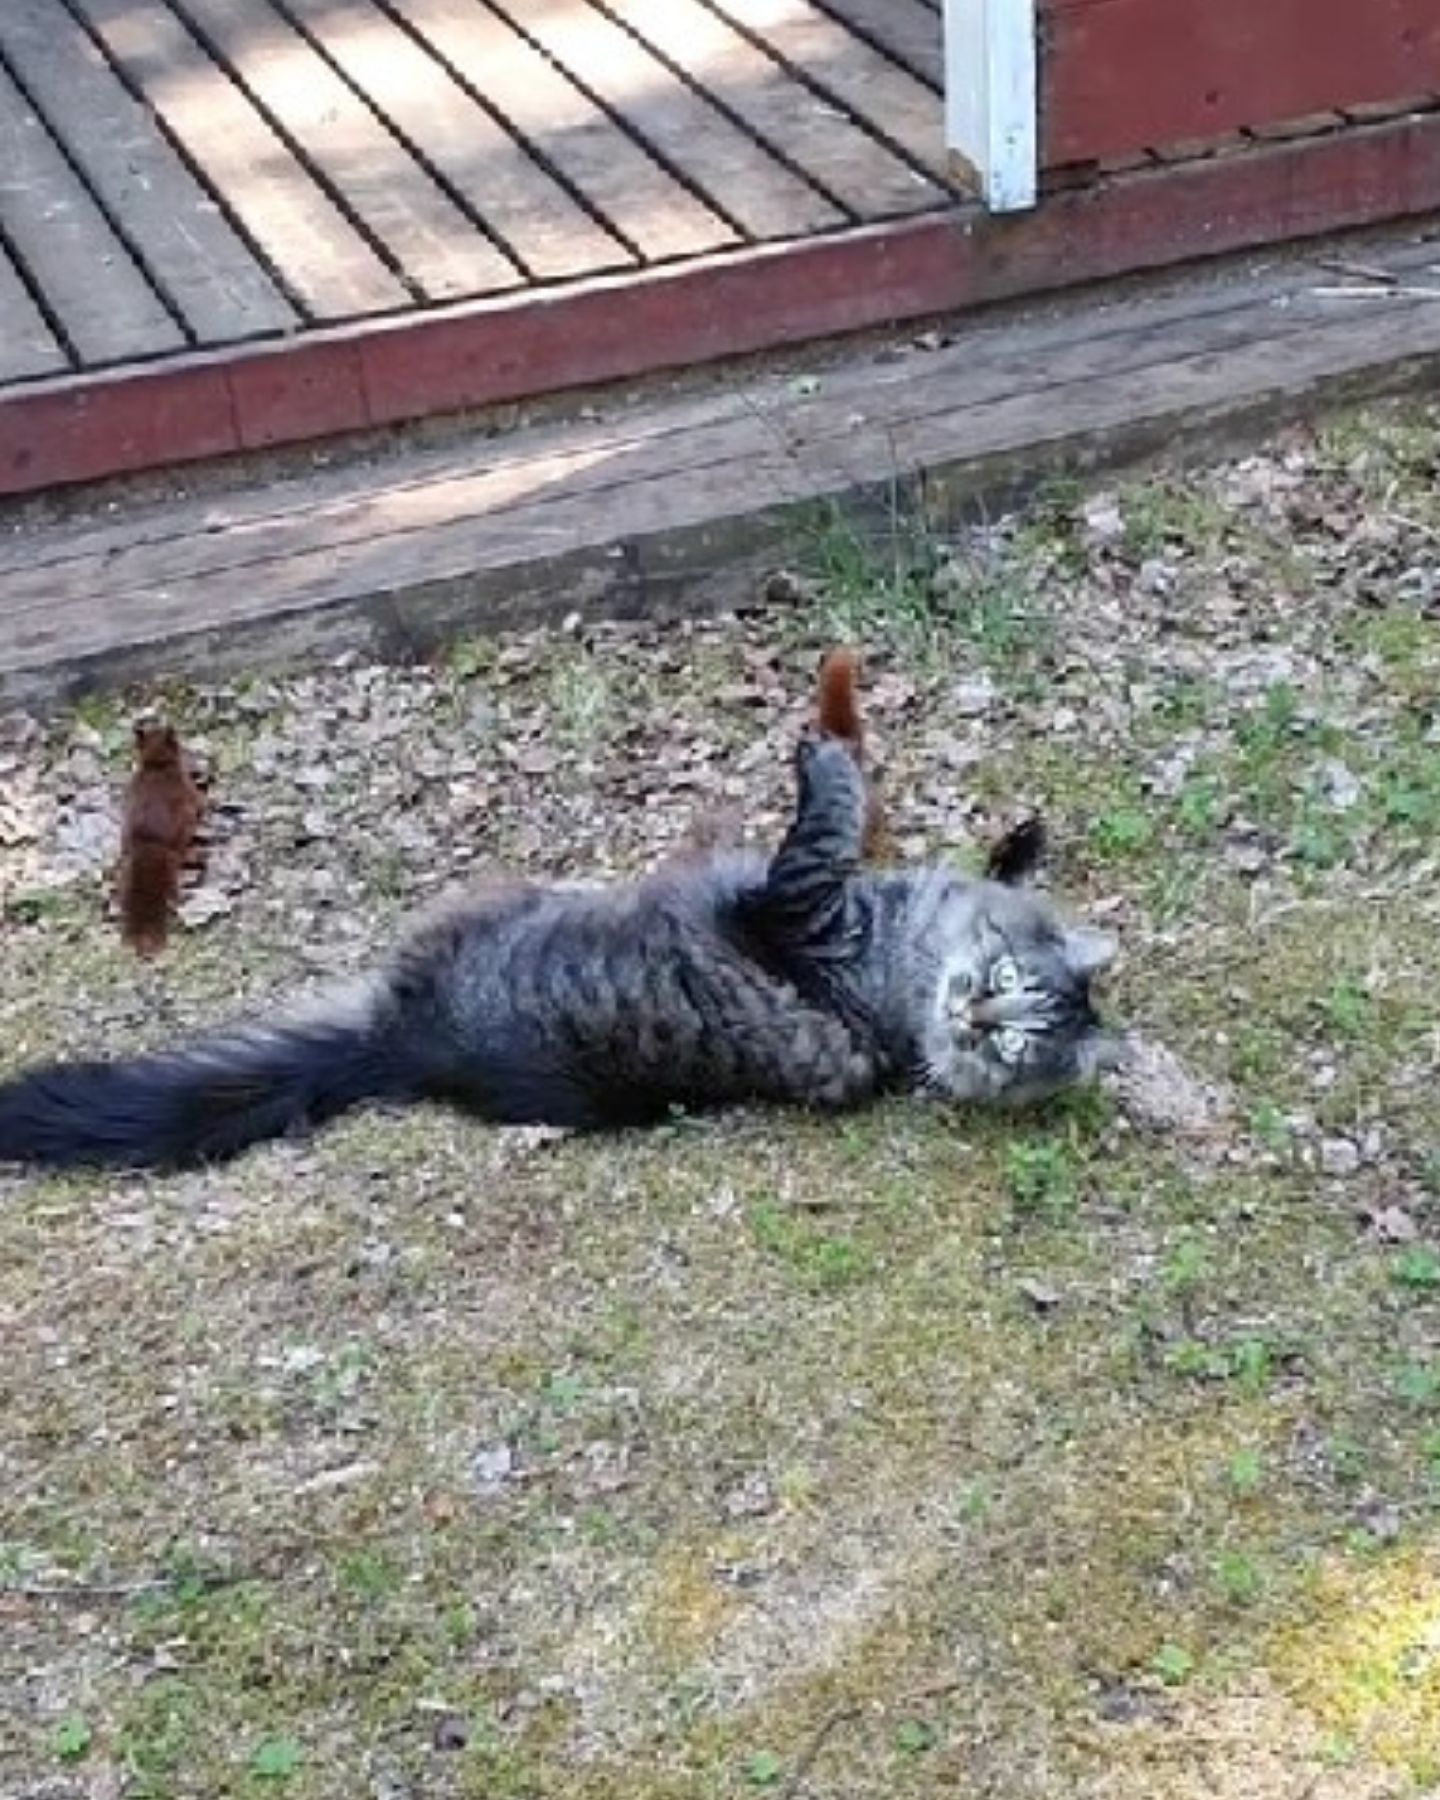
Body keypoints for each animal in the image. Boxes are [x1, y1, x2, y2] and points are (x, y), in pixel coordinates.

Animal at [0, 684, 1123, 1166]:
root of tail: (396, 1048)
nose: (974, 1020)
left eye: (1020, 1042)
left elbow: (827, 817)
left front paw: (824, 754)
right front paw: (1011, 838)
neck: (900, 953)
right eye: (1010, 985)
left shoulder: (802, 900)